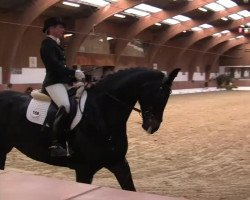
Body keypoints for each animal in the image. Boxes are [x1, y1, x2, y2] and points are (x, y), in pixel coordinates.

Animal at [0, 67, 180, 191]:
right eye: (160, 93)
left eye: (169, 95)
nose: (152, 126)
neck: (102, 112)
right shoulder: (84, 169)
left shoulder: (118, 163)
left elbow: (130, 189)